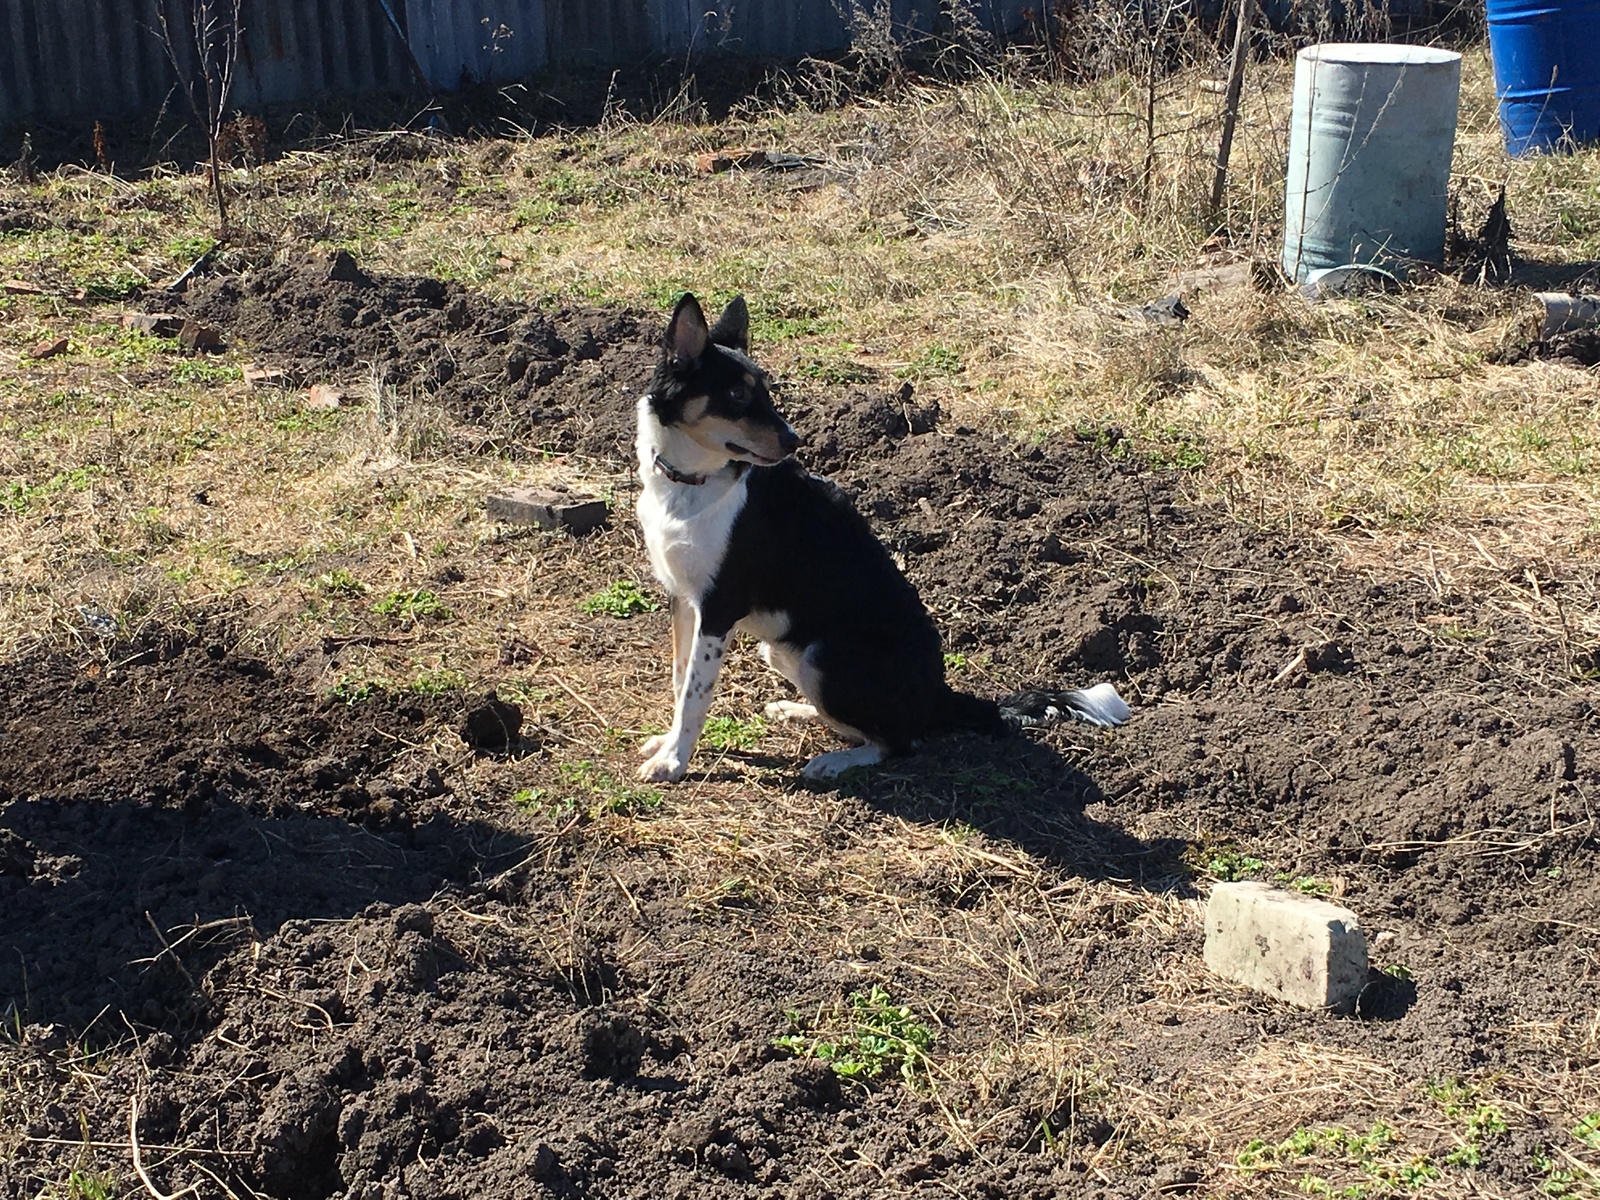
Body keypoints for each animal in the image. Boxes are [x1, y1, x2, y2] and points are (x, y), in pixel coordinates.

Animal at [630, 294, 1132, 784]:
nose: (794, 441)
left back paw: (833, 761)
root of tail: (940, 696)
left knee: (899, 743)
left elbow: (695, 695)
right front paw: (669, 745)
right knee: (864, 725)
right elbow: (681, 680)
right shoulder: (684, 600)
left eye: (766, 393)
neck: (692, 483)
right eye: (736, 395)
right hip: (780, 650)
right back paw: (799, 710)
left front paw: (675, 762)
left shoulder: (719, 608)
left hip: (824, 657)